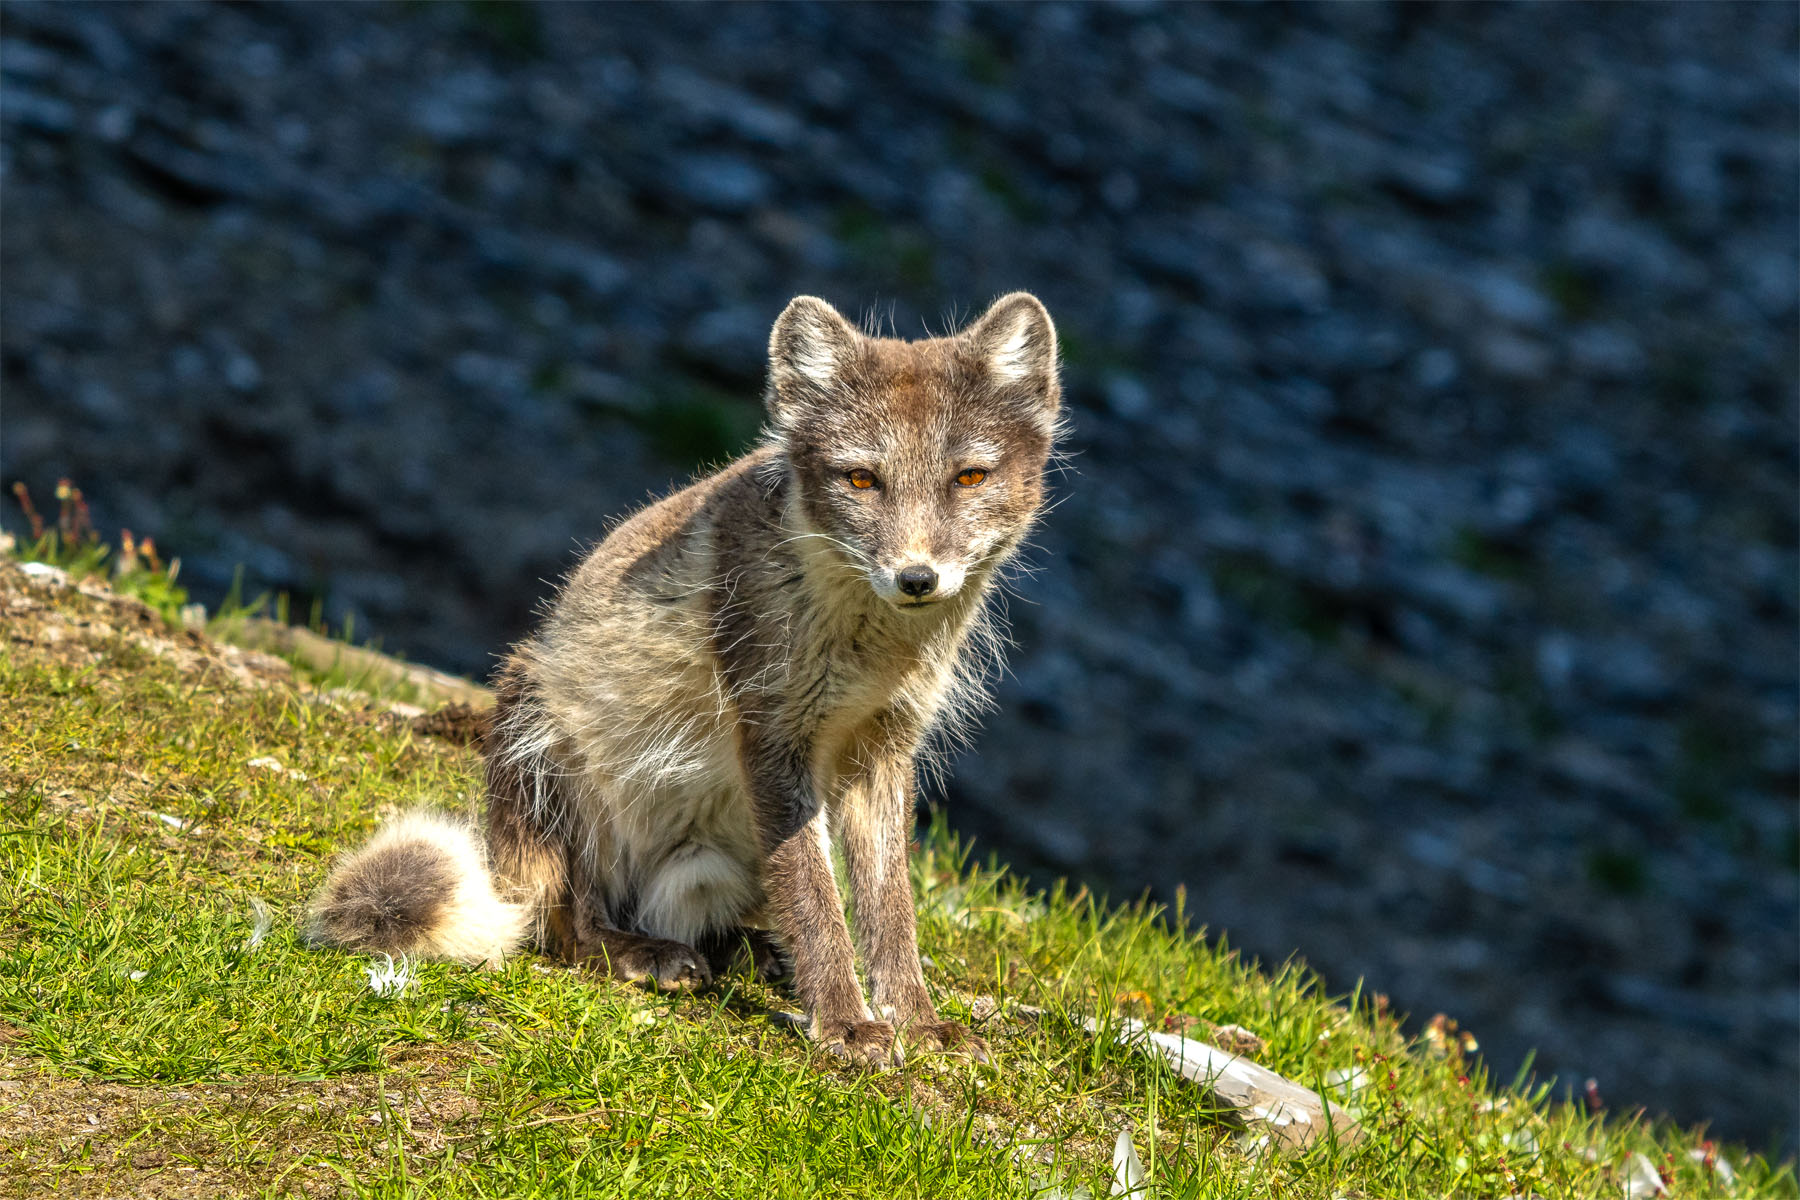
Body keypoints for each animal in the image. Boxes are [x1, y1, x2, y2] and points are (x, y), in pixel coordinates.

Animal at [307, 292, 1063, 1066]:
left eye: (969, 478)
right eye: (861, 479)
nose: (917, 578)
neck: (873, 650)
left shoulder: (884, 745)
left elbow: (889, 905)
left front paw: (915, 1019)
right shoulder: (773, 735)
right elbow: (816, 897)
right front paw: (846, 1025)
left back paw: (747, 954)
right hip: (541, 732)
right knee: (567, 927)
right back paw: (643, 953)